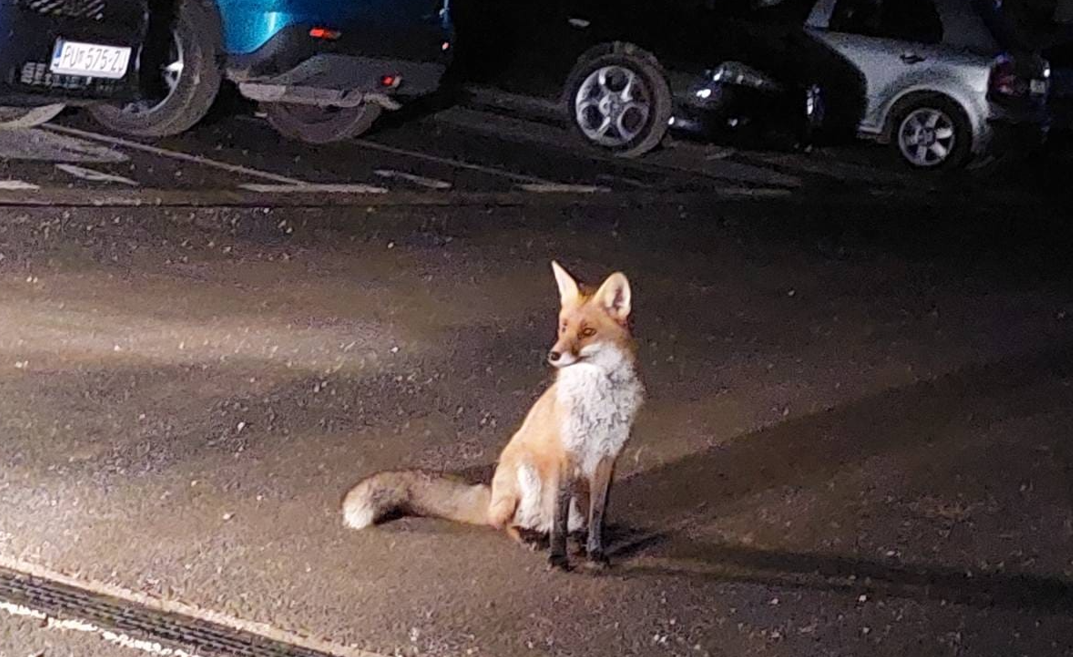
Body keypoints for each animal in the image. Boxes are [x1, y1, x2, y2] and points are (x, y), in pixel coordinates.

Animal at [343, 261, 639, 571]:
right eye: (563, 327)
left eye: (588, 331)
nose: (554, 355)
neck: (599, 402)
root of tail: (491, 497)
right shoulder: (565, 456)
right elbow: (557, 522)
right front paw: (558, 558)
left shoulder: (607, 458)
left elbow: (598, 516)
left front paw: (596, 552)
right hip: (525, 478)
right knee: (509, 522)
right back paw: (529, 536)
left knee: (567, 524)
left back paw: (581, 539)